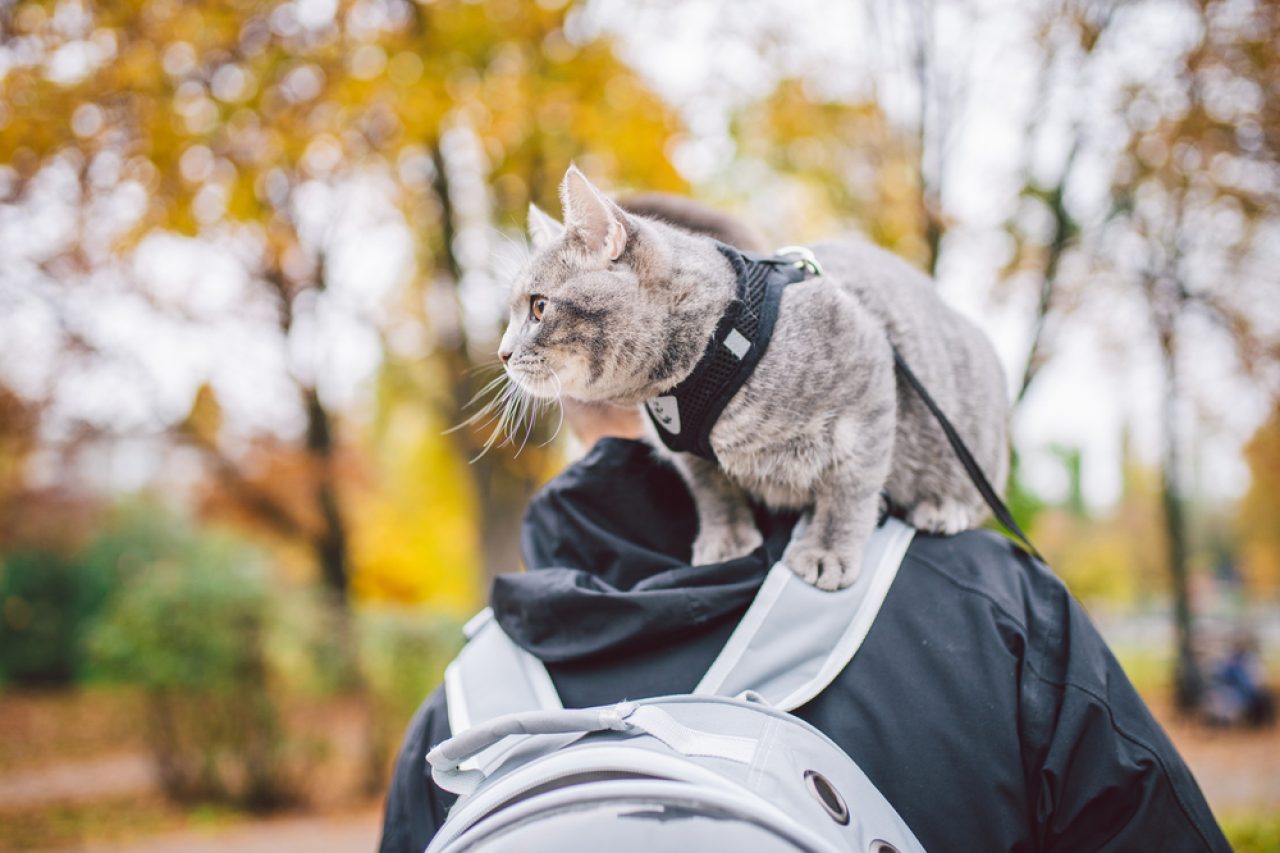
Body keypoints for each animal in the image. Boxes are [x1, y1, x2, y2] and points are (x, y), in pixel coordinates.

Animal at [499, 166, 1008, 591]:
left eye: (539, 307)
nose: (502, 353)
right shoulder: (690, 454)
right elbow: (713, 493)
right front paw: (726, 539)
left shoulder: (869, 384)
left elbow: (850, 487)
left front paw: (828, 548)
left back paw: (943, 506)